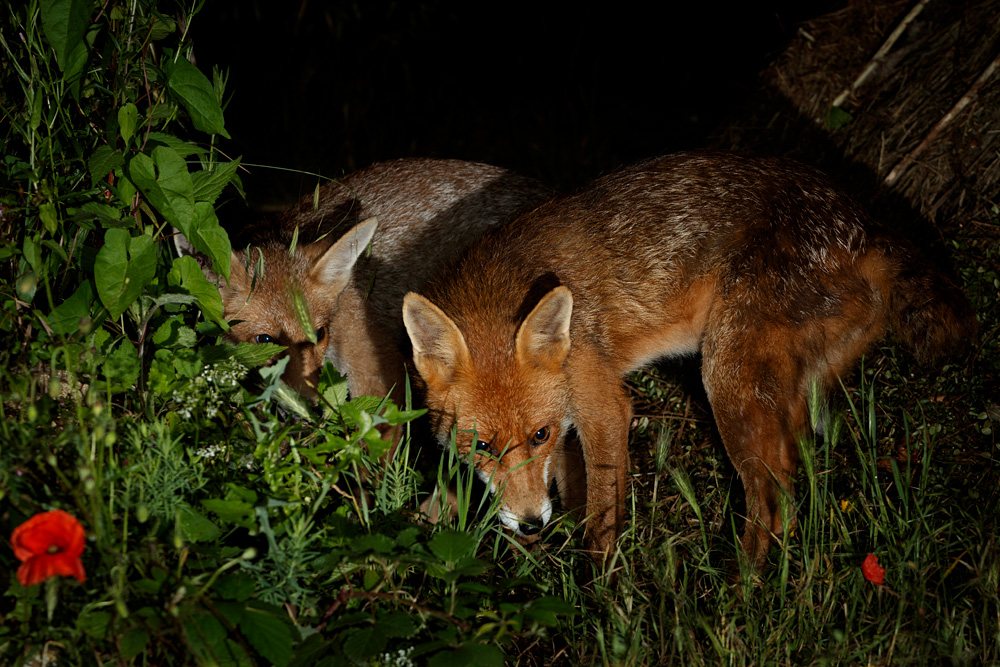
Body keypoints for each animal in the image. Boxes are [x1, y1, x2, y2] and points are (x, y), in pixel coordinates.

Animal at [402, 151, 978, 568]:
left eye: (537, 436)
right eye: (480, 446)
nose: (530, 524)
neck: (503, 284)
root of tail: (864, 223)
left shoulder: (600, 405)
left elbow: (600, 522)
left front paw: (599, 601)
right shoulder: (571, 418)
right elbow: (566, 492)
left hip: (725, 376)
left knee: (770, 500)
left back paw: (741, 593)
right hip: (788, 389)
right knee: (795, 482)